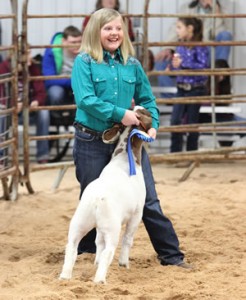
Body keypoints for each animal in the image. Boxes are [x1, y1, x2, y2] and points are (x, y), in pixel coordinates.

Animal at [58, 106, 153, 284]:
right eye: (146, 113)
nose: (143, 107)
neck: (125, 157)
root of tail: (96, 200)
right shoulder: (137, 213)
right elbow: (127, 239)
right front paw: (124, 264)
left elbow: (98, 243)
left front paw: (96, 261)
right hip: (112, 227)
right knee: (109, 251)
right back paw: (100, 280)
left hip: (79, 221)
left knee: (72, 247)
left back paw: (65, 276)